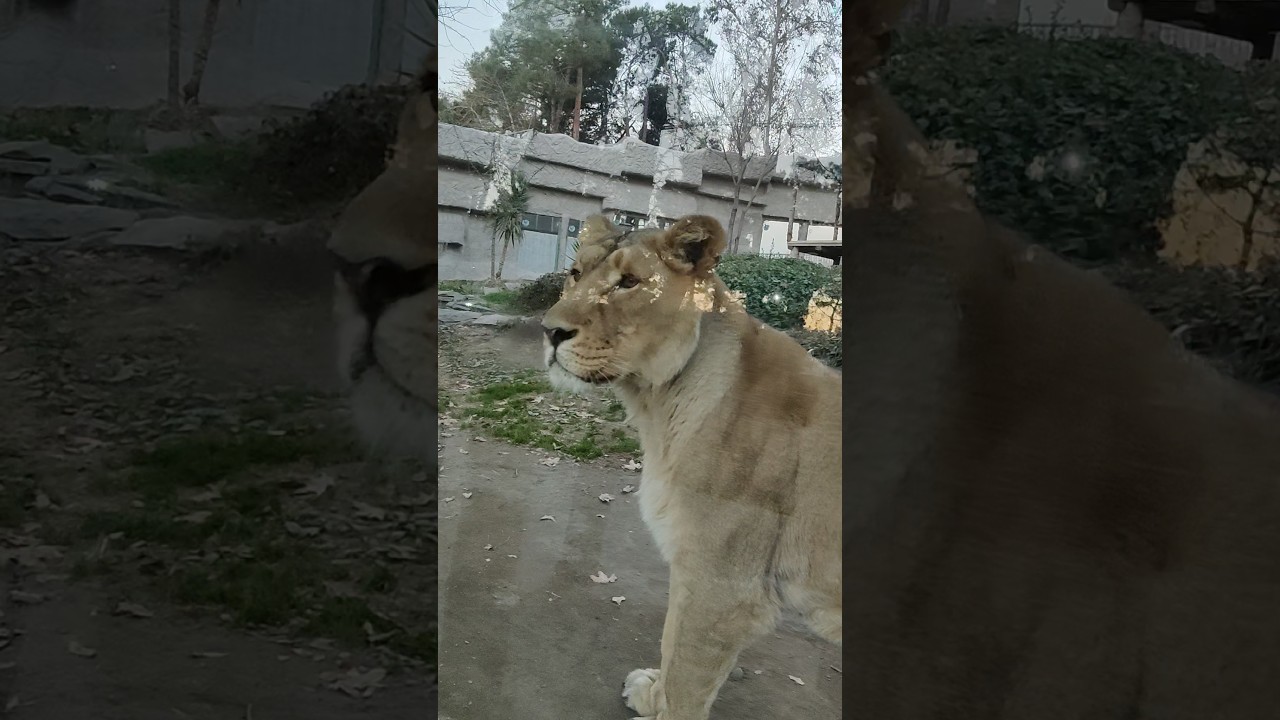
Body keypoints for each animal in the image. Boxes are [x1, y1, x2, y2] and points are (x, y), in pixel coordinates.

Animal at [540, 214, 842, 720]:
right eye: (576, 274)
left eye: (628, 283)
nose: (549, 331)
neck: (657, 404)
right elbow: (670, 644)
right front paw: (652, 694)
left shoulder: (722, 588)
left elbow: (685, 675)